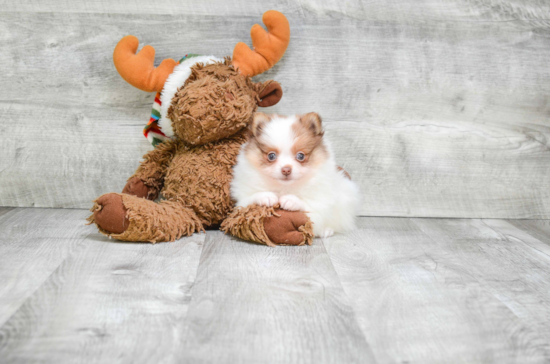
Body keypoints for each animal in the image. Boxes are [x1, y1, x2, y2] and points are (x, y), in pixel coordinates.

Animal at [232, 114, 362, 239]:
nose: (286, 169)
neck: (285, 187)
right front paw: (266, 196)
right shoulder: (242, 199)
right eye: (271, 156)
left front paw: (291, 200)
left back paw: (326, 230)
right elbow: (249, 199)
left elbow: (309, 206)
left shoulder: (321, 200)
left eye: (300, 156)